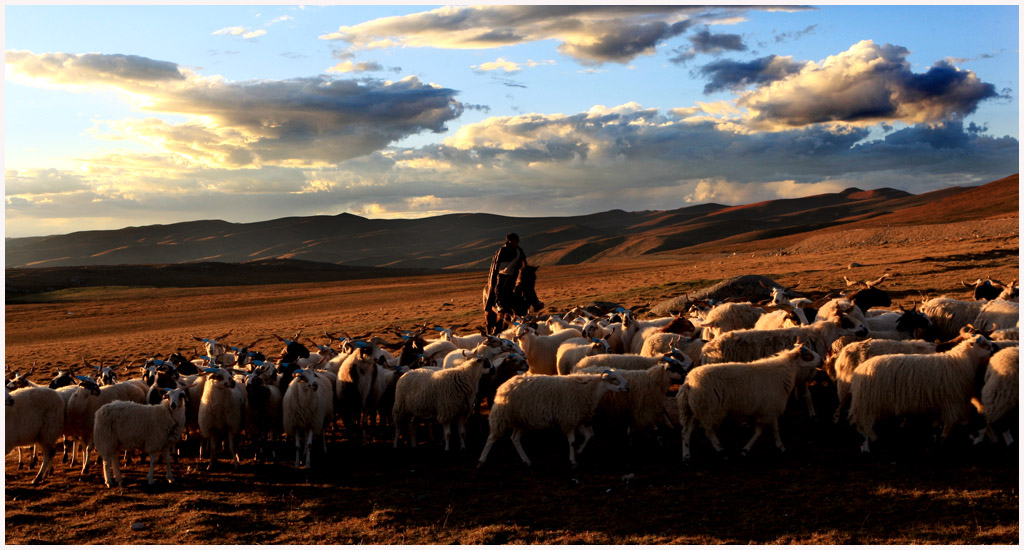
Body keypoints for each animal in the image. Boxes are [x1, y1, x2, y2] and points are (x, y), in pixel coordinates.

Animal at [475, 368, 626, 467]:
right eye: (614, 379)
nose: (628, 388)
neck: (590, 390)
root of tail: (505, 385)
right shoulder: (568, 418)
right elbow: (572, 441)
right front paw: (573, 460)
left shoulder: (576, 419)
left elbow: (589, 435)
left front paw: (578, 451)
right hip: (503, 416)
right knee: (492, 438)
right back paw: (481, 460)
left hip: (523, 420)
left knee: (515, 438)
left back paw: (526, 460)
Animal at [679, 344, 823, 458]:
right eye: (807, 355)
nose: (822, 360)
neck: (785, 372)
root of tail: (689, 382)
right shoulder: (770, 408)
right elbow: (770, 430)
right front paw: (779, 447)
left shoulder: (767, 409)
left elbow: (763, 431)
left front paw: (747, 449)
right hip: (709, 410)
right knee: (708, 433)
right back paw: (721, 449)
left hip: (694, 409)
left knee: (686, 432)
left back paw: (686, 456)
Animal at [843, 331, 995, 452]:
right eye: (985, 345)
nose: (994, 349)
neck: (964, 361)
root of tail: (859, 371)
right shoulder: (952, 400)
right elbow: (950, 422)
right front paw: (944, 437)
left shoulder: (939, 401)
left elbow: (938, 419)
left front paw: (935, 430)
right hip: (869, 402)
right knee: (866, 424)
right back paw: (875, 438)